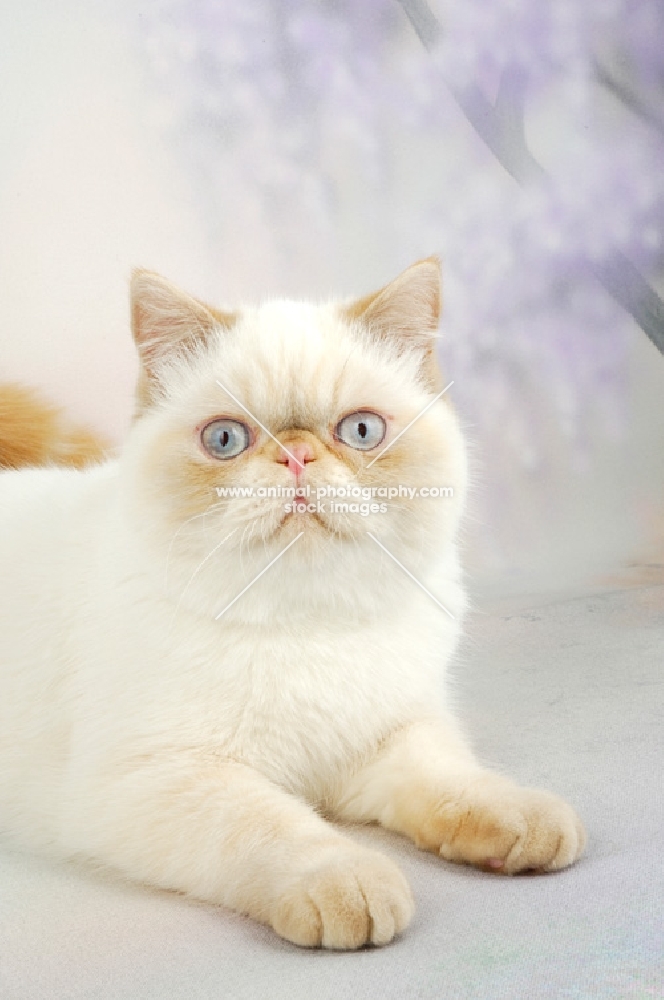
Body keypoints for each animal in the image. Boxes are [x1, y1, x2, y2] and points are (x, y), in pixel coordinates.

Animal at [0, 258, 584, 944]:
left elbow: (455, 780)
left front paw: (519, 817)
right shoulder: (155, 777)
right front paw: (345, 882)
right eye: (226, 439)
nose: (297, 456)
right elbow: (275, 826)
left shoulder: (387, 738)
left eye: (361, 430)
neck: (306, 621)